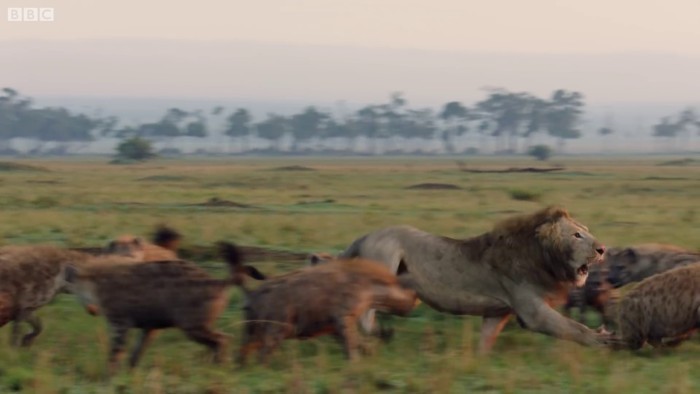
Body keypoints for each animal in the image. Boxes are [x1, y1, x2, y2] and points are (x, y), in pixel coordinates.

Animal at [338, 205, 608, 352]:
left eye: (587, 231)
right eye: (577, 235)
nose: (602, 248)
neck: (542, 256)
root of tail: (365, 236)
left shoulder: (497, 312)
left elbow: (486, 340)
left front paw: (479, 362)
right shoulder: (533, 312)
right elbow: (573, 328)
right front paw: (603, 339)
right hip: (385, 266)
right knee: (363, 312)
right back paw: (377, 335)